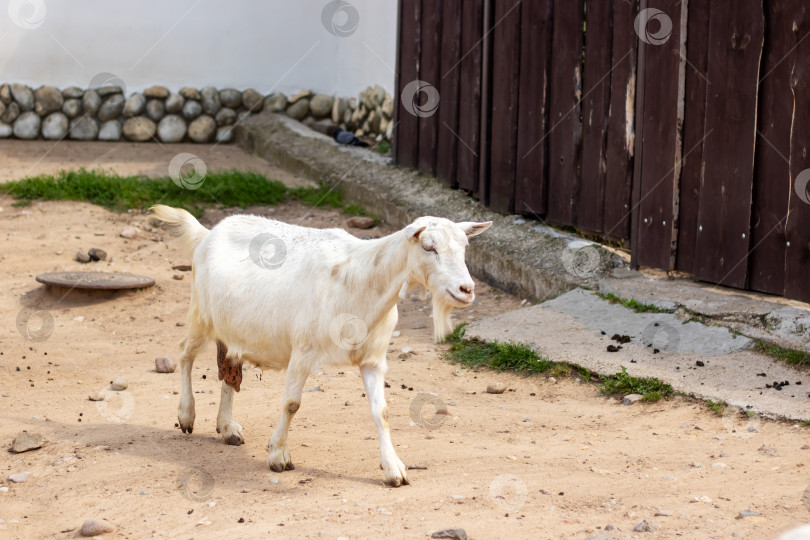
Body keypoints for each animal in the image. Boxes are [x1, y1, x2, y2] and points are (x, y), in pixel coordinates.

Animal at [151, 205, 490, 488]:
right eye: (428, 247)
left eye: (464, 248)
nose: (466, 289)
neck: (359, 280)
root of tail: (207, 233)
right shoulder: (303, 350)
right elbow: (291, 404)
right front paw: (278, 456)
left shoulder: (373, 358)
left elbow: (381, 412)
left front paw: (394, 469)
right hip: (201, 314)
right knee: (184, 353)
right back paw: (186, 415)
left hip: (237, 327)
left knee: (230, 368)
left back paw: (227, 428)